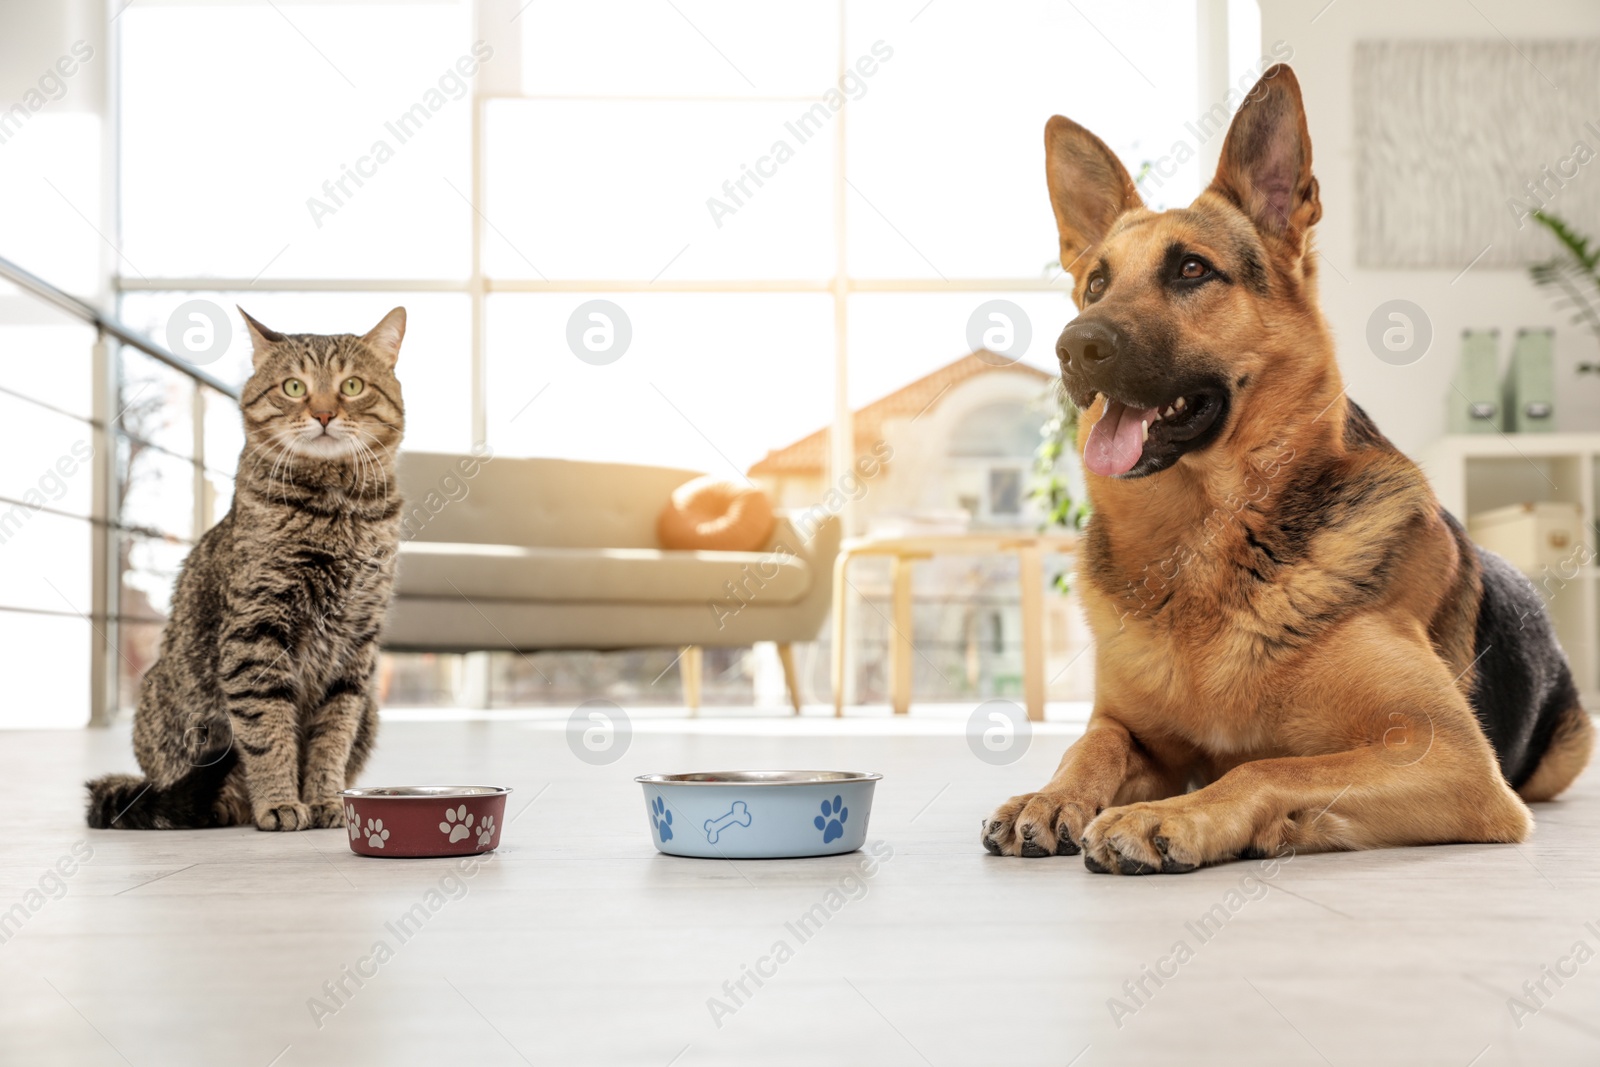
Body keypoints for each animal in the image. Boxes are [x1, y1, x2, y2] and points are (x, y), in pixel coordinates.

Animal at [86, 303, 406, 831]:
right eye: (293, 387)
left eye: (353, 385)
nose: (323, 414)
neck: (336, 509)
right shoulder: (256, 635)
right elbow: (266, 731)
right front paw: (279, 801)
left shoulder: (356, 647)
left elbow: (332, 738)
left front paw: (326, 799)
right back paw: (225, 805)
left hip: (372, 709)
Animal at [979, 62, 1593, 870]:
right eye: (1095, 285)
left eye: (1191, 269)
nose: (1075, 346)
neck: (1209, 542)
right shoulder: (1132, 729)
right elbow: (1093, 744)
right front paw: (1050, 796)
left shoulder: (1450, 756)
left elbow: (1264, 766)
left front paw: (1171, 816)